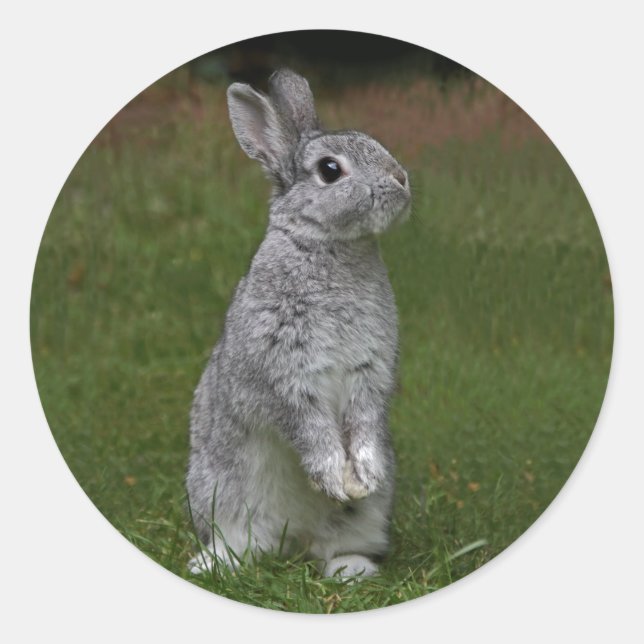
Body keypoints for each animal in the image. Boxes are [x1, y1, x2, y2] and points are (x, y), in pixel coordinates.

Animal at [186, 68, 410, 578]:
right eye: (330, 170)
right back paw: (212, 565)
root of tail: (293, 540)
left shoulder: (370, 373)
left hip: (365, 518)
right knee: (240, 541)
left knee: (338, 545)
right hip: (220, 491)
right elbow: (309, 427)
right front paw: (332, 476)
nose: (401, 180)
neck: (330, 245)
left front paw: (362, 475)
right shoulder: (285, 374)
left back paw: (351, 569)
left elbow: (365, 420)